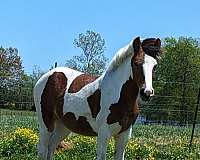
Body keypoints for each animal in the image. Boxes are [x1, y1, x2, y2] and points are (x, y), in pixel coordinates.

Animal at [33, 37, 161, 159]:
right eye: (136, 63)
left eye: (155, 66)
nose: (147, 92)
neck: (118, 95)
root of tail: (47, 76)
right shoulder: (103, 134)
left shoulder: (124, 135)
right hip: (46, 123)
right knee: (43, 150)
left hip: (63, 126)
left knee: (51, 147)